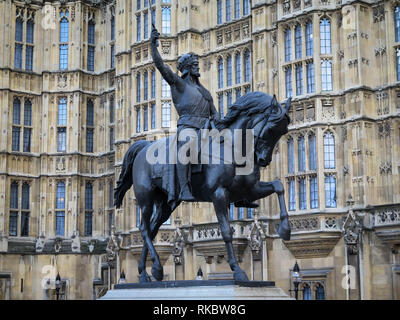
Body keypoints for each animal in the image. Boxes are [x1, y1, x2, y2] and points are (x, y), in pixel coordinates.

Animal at [114, 90, 292, 282]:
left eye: (283, 131)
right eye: (271, 128)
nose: (263, 160)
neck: (233, 148)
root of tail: (144, 146)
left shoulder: (250, 190)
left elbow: (279, 186)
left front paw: (285, 229)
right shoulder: (219, 194)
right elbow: (226, 231)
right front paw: (237, 269)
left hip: (166, 202)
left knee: (152, 228)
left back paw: (145, 271)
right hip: (146, 197)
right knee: (144, 228)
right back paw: (154, 269)